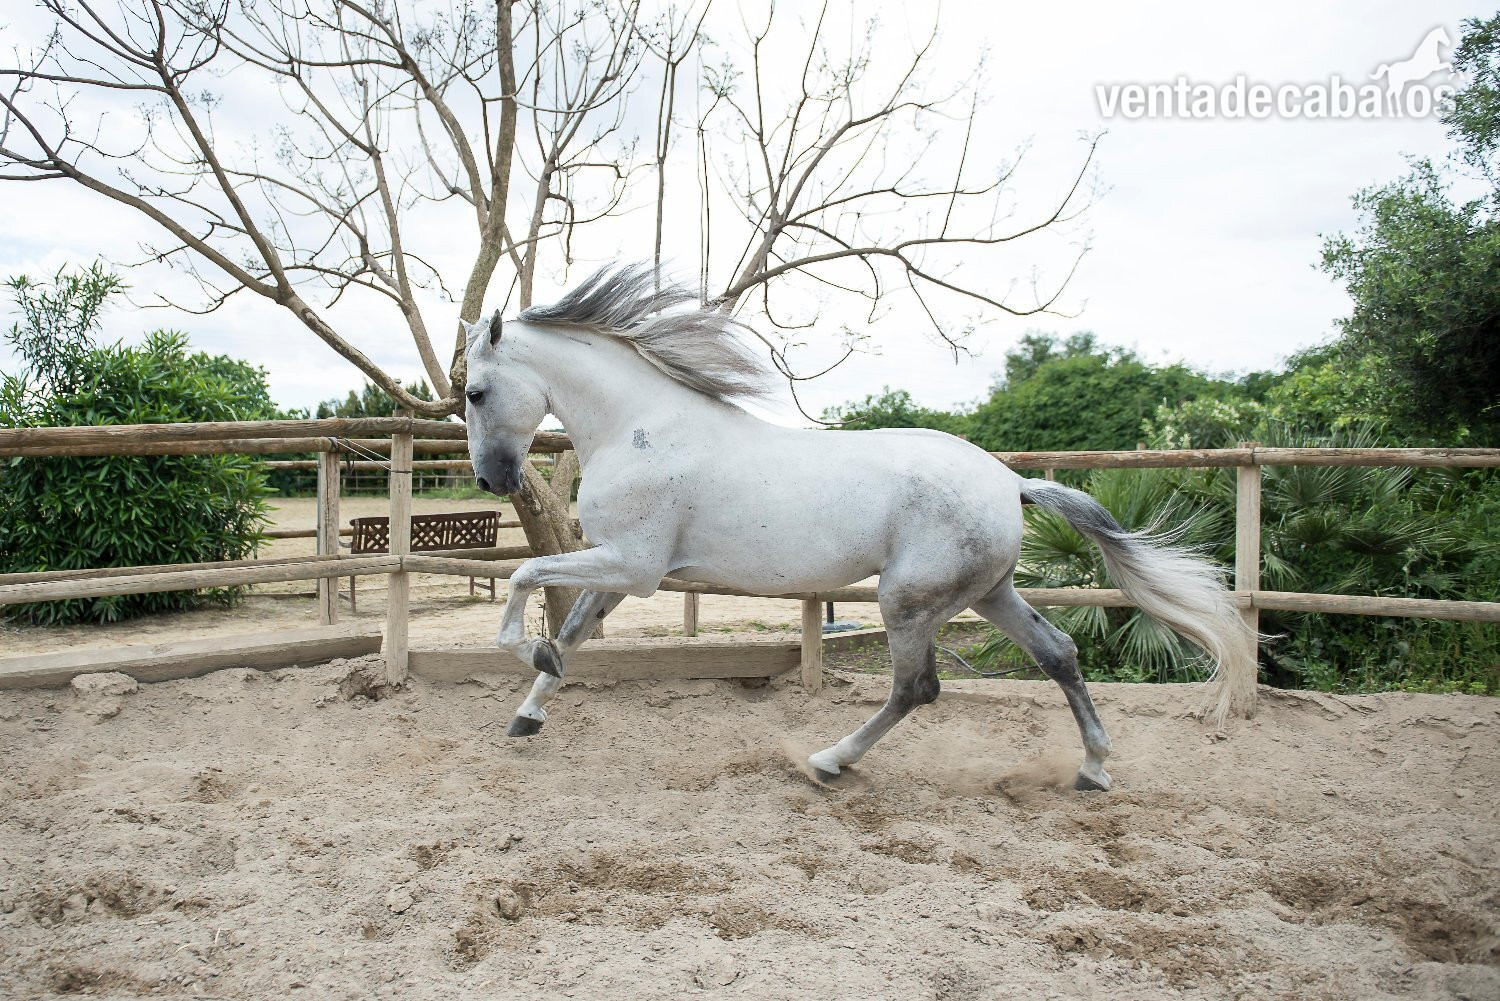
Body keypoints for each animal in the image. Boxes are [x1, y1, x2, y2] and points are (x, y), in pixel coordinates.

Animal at [460, 264, 1258, 791]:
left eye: (474, 392)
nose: (493, 482)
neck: (643, 428)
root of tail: (1011, 482)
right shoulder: (620, 568)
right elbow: (572, 634)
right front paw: (528, 714)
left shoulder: (634, 565)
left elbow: (526, 578)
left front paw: (525, 654)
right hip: (988, 592)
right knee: (1059, 653)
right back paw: (1093, 769)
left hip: (907, 599)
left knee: (918, 688)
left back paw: (827, 761)